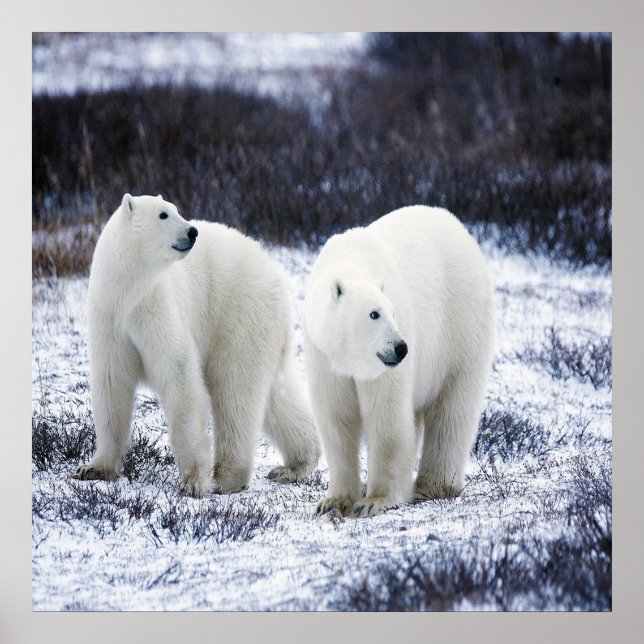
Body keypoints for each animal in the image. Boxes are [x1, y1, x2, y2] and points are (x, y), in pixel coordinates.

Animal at [73, 193, 319, 497]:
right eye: (163, 214)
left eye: (176, 210)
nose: (192, 232)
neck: (128, 291)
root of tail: (277, 274)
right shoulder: (109, 318)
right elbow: (111, 385)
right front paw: (93, 468)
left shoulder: (156, 306)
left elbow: (179, 373)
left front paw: (192, 481)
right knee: (276, 395)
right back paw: (294, 466)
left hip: (239, 313)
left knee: (235, 388)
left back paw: (227, 478)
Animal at [304, 205, 495, 518]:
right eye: (374, 314)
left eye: (392, 313)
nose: (401, 348)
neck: (351, 259)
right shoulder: (324, 356)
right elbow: (337, 416)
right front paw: (334, 501)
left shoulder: (383, 368)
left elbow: (387, 416)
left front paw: (374, 501)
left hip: (462, 325)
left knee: (453, 408)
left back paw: (434, 485)